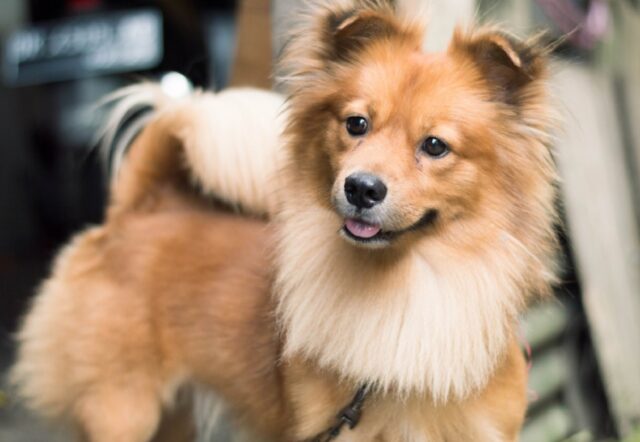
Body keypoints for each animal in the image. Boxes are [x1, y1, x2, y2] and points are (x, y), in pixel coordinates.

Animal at [11, 1, 560, 440]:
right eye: (356, 124)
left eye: (435, 146)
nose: (361, 188)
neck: (408, 287)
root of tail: (144, 207)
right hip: (122, 411)